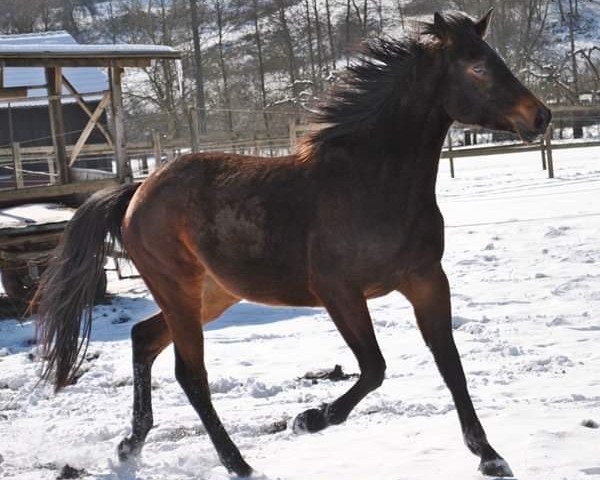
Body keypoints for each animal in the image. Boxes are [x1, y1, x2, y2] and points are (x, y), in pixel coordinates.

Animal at [31, 9, 548, 478]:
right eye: (476, 66)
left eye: (495, 59)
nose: (540, 116)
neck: (372, 184)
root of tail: (138, 191)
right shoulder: (339, 292)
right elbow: (374, 367)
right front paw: (309, 419)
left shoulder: (425, 280)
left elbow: (450, 363)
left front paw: (490, 456)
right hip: (178, 289)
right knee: (190, 374)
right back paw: (239, 465)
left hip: (211, 293)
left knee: (143, 339)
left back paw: (129, 447)